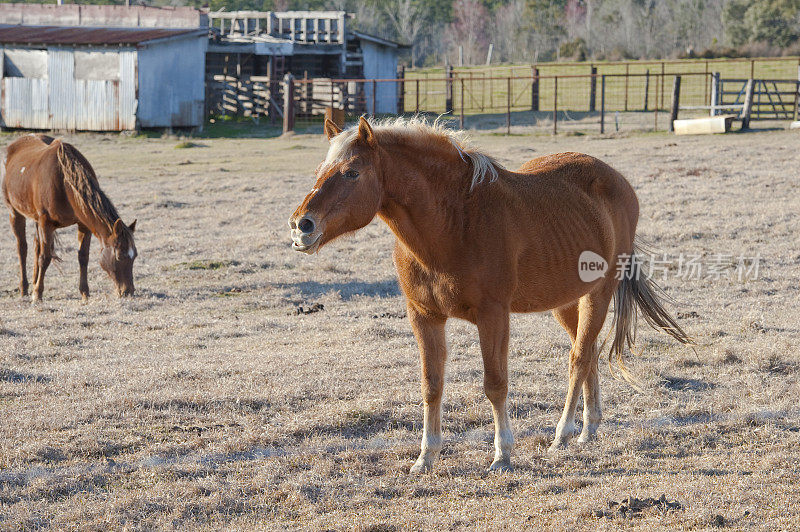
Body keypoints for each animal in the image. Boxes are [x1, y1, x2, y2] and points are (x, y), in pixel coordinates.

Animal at [2, 135, 138, 302]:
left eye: (135, 256)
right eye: (119, 256)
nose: (128, 292)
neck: (63, 182)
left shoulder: (84, 224)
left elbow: (83, 257)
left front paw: (85, 293)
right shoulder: (46, 223)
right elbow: (45, 257)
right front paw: (37, 294)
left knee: (36, 247)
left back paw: (34, 281)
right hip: (15, 213)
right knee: (22, 248)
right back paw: (24, 288)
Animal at [290, 117, 692, 474]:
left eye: (352, 172)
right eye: (320, 170)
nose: (300, 225)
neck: (455, 223)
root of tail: (616, 180)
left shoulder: (493, 316)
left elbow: (495, 384)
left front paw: (502, 455)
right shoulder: (423, 316)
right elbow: (431, 386)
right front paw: (426, 458)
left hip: (600, 293)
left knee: (578, 358)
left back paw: (562, 434)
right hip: (566, 301)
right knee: (588, 350)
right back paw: (588, 429)